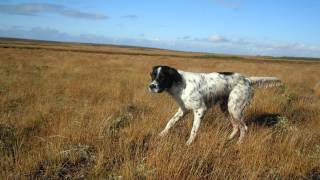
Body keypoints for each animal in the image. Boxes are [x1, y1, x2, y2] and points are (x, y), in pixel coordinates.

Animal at [149, 65, 282, 145]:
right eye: (152, 75)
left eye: (162, 77)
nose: (151, 86)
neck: (180, 83)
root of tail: (247, 79)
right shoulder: (183, 110)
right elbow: (170, 123)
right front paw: (161, 134)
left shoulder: (200, 110)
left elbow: (194, 130)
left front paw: (189, 143)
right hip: (226, 108)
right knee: (236, 126)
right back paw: (228, 139)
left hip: (234, 108)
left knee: (244, 127)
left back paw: (239, 143)